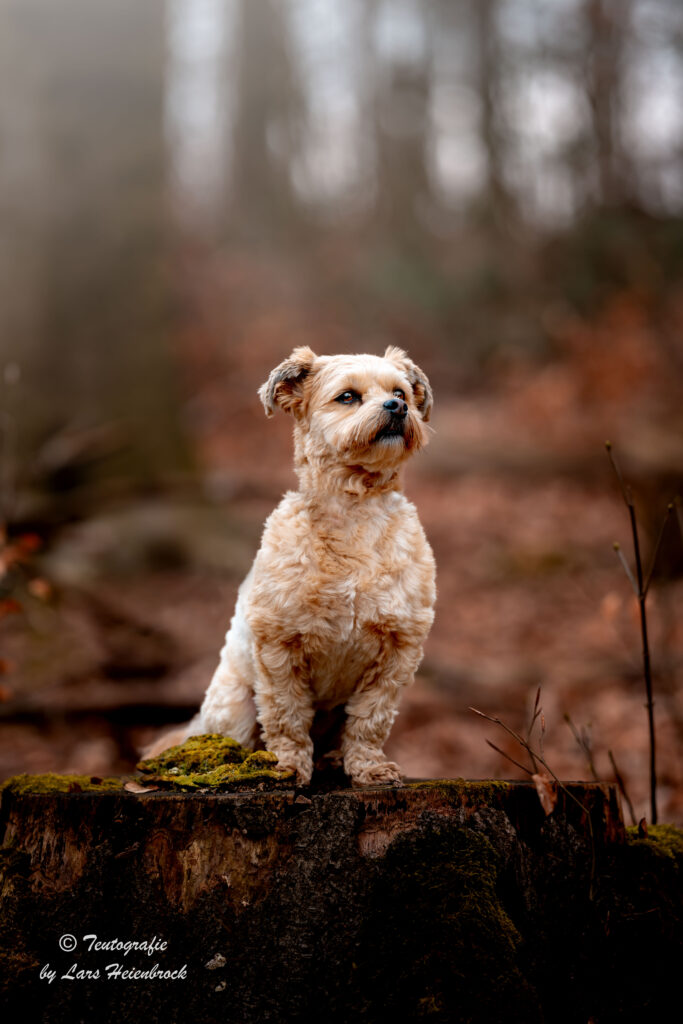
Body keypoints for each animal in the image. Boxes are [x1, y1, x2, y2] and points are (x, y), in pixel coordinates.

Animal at [150, 348, 438, 786]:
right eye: (348, 396)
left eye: (400, 391)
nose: (398, 407)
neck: (353, 509)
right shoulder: (279, 648)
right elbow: (285, 715)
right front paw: (286, 767)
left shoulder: (398, 650)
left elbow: (370, 719)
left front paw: (368, 767)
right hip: (233, 703)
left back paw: (332, 760)